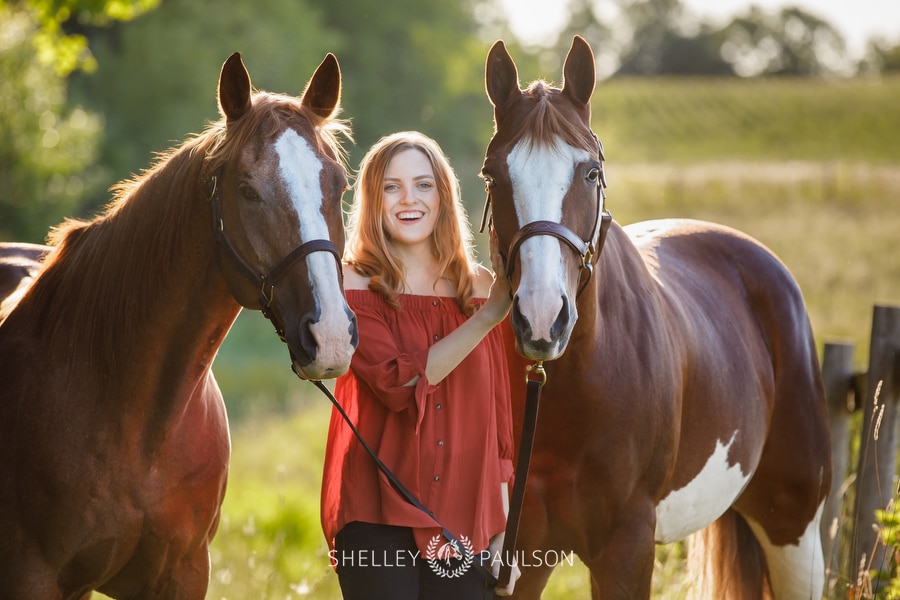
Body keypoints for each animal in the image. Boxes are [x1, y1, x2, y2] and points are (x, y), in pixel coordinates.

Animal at [486, 37, 828, 600]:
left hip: (794, 530)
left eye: (590, 172)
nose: (542, 319)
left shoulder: (627, 548)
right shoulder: (516, 555)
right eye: (493, 174)